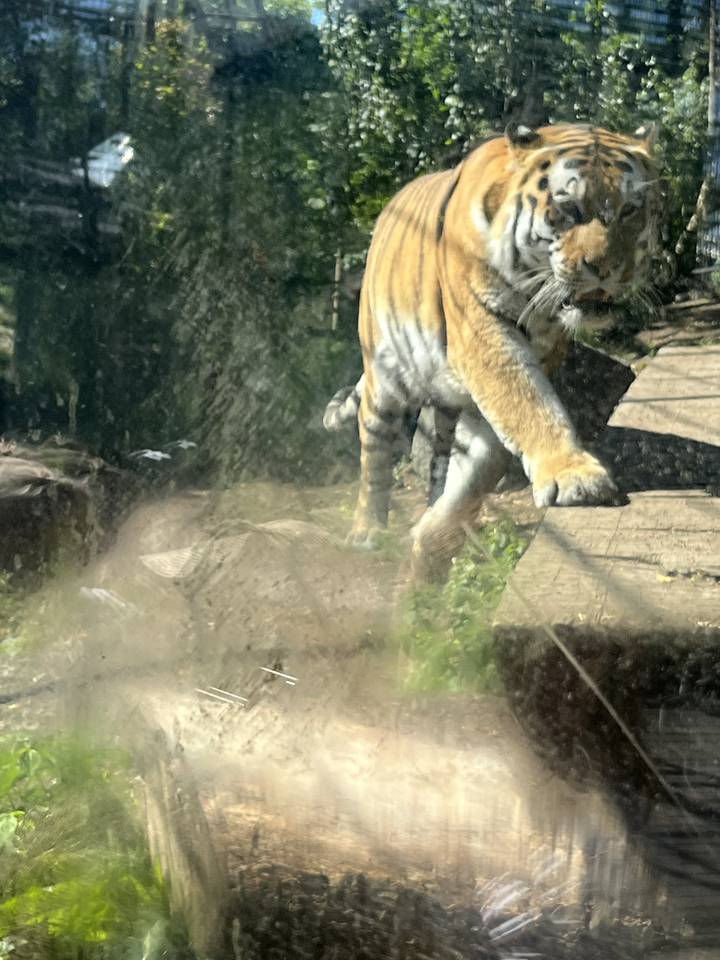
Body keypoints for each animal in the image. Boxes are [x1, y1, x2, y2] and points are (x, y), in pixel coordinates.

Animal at [327, 122, 661, 581]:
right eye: (570, 208)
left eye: (629, 210)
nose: (605, 269)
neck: (541, 308)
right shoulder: (484, 335)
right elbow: (529, 405)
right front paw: (574, 474)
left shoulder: (529, 361)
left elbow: (477, 471)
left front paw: (430, 544)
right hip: (384, 380)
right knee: (373, 456)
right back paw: (366, 532)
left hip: (443, 403)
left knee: (439, 457)